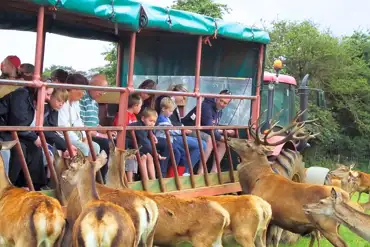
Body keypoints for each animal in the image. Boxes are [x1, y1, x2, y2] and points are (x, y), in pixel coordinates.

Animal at [228, 112, 352, 247]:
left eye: (248, 144)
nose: (229, 139)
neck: (256, 180)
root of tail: (347, 195)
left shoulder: (267, 216)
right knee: (316, 236)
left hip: (327, 225)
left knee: (342, 243)